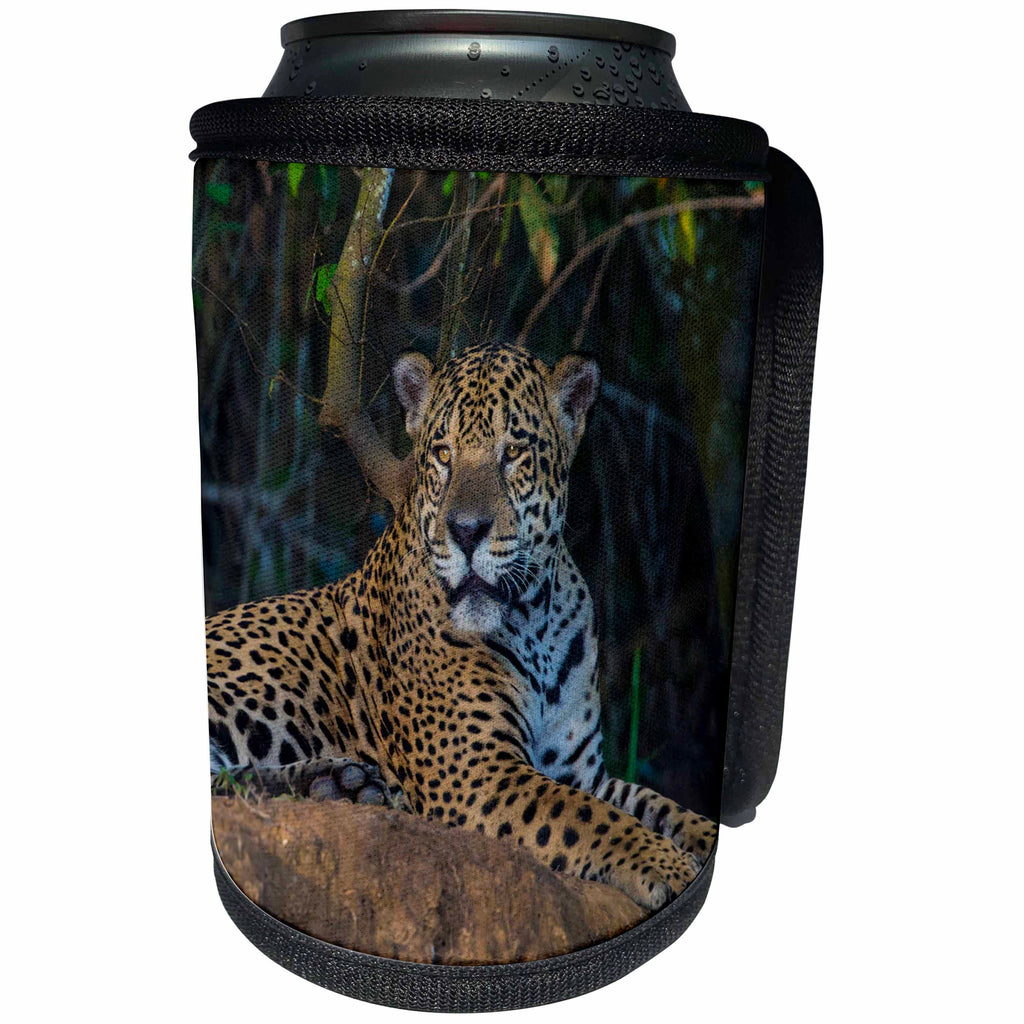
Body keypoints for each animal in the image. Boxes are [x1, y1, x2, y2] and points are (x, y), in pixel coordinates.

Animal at [207, 342, 716, 910]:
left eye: (513, 452)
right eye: (443, 454)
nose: (466, 531)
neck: (536, 620)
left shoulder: (582, 771)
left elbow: (662, 807)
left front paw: (699, 843)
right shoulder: (479, 774)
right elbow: (592, 819)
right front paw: (668, 864)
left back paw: (341, 784)